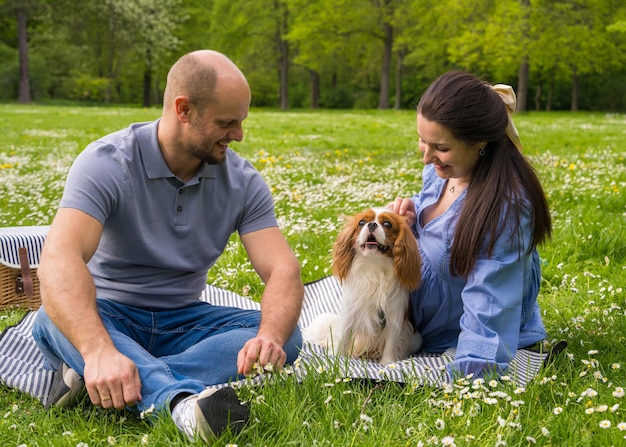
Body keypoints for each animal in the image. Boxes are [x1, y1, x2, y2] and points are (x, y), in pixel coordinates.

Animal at [304, 208, 422, 366]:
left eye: (387, 224)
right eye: (361, 222)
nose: (371, 224)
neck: (374, 266)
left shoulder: (394, 315)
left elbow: (391, 343)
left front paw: (387, 363)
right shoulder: (350, 311)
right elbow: (343, 336)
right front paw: (336, 358)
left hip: (416, 338)